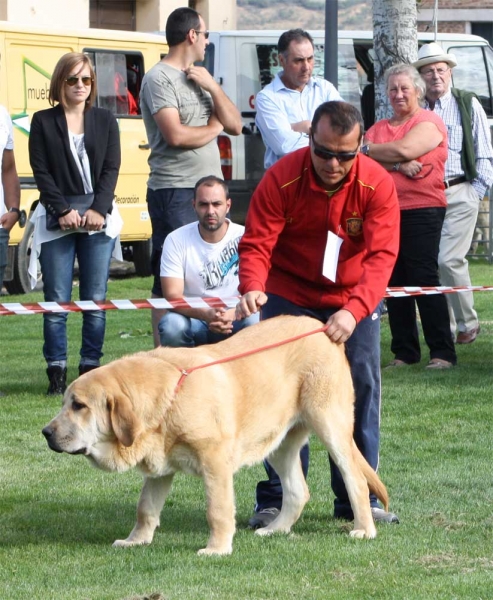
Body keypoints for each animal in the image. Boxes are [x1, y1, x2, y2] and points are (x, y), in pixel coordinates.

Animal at [42, 316, 388, 556]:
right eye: (64, 402)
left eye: (79, 406)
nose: (45, 432)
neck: (167, 399)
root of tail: (322, 328)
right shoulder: (158, 469)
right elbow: (145, 508)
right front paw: (135, 541)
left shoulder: (215, 462)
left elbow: (218, 510)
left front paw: (217, 549)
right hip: (277, 442)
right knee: (297, 491)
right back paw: (275, 530)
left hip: (331, 426)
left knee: (355, 479)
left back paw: (363, 529)